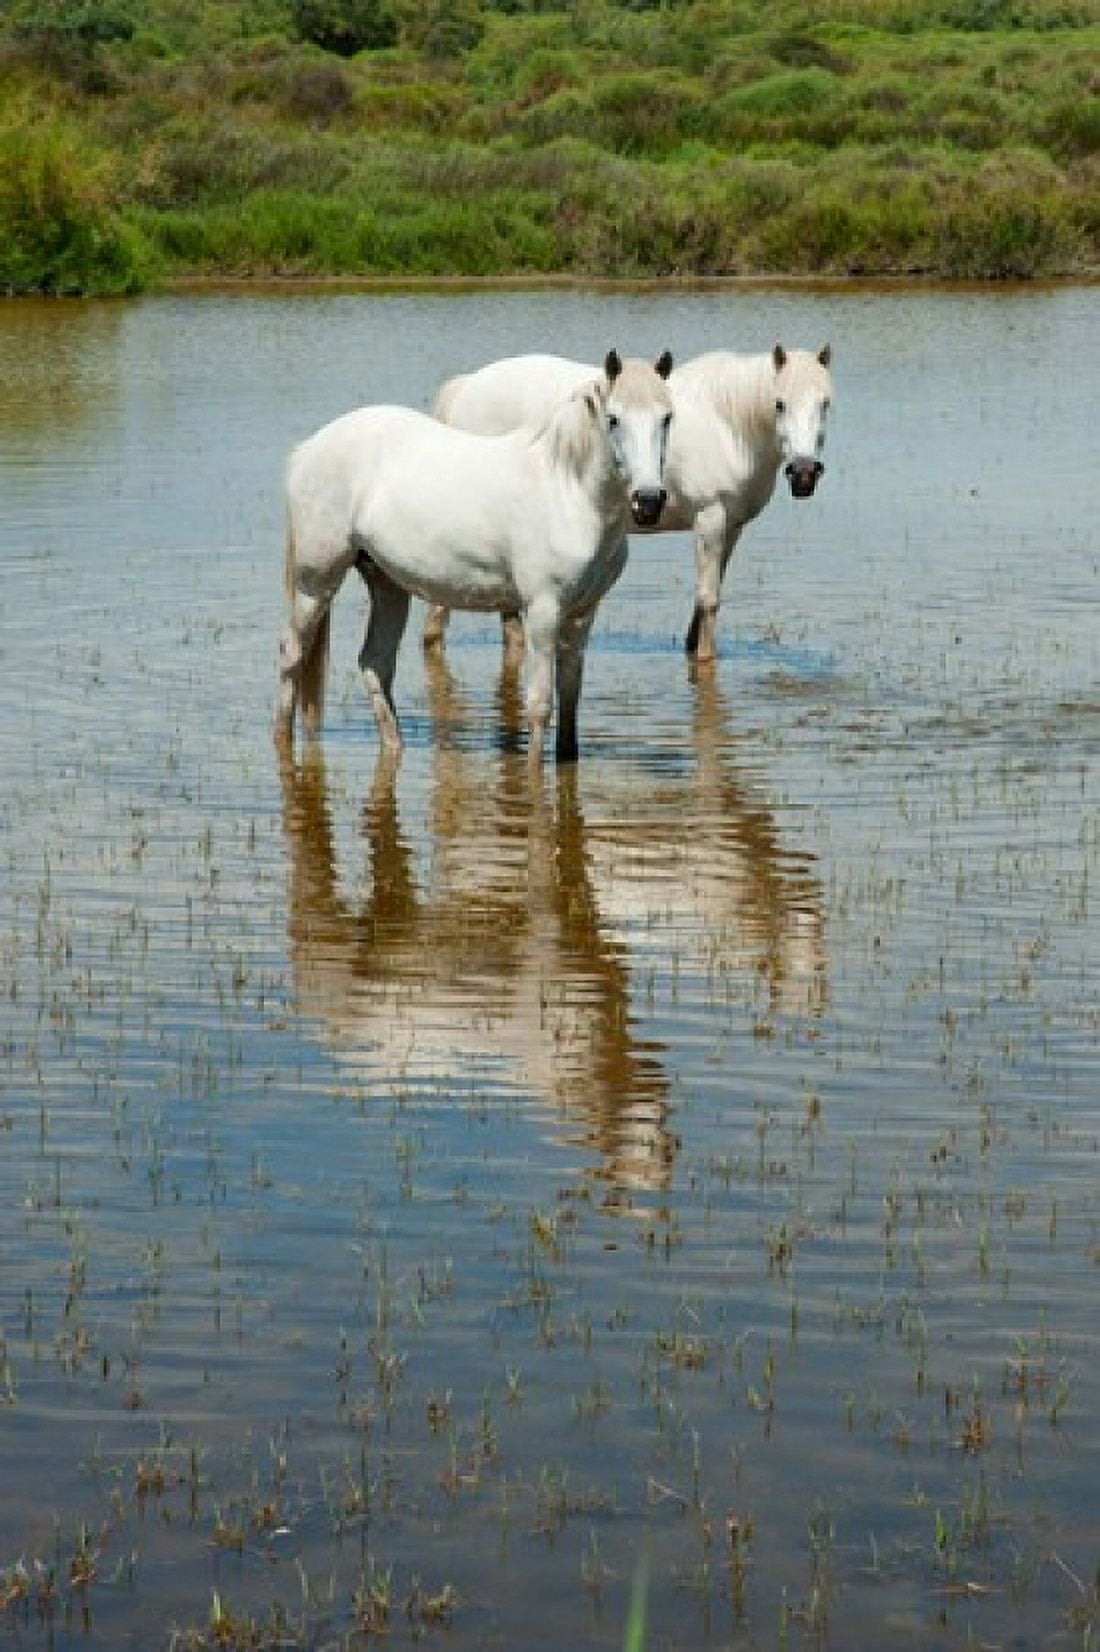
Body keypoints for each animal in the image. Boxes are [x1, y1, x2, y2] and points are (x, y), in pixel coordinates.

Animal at [276, 348, 674, 765]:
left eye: (667, 417)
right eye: (614, 419)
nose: (648, 501)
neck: (567, 490)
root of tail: (308, 450)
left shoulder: (583, 613)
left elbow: (569, 704)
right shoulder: (543, 609)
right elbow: (539, 705)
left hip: (386, 582)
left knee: (375, 663)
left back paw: (394, 745)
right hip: (316, 582)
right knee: (293, 653)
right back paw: (282, 741)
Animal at [424, 343, 832, 662]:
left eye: (825, 404)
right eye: (779, 404)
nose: (804, 472)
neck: (726, 425)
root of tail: (467, 386)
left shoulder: (731, 527)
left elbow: (708, 596)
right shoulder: (710, 518)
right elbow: (708, 598)